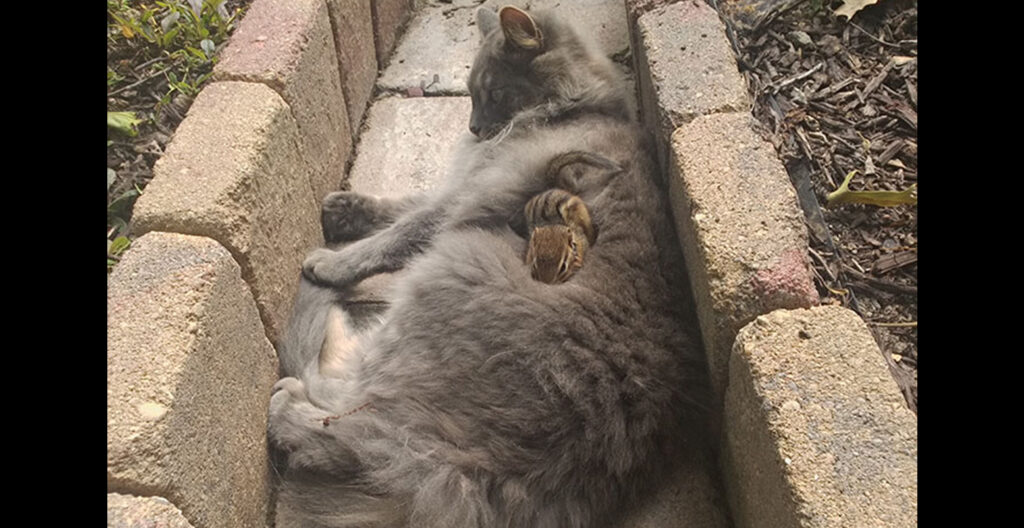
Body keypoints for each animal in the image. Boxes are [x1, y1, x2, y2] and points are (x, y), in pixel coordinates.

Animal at [268, 5, 708, 528]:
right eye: (471, 94)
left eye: (494, 92)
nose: (475, 128)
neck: (577, 107)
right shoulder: (462, 185)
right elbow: (405, 203)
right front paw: (346, 209)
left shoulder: (470, 196)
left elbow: (400, 231)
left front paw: (333, 261)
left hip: (445, 274)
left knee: (353, 420)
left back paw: (291, 401)